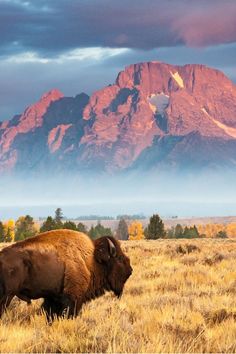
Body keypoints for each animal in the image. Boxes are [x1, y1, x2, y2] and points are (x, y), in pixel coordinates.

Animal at [0, 230, 133, 320]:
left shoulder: (52, 298)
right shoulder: (73, 298)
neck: (92, 260)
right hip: (7, 296)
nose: (130, 270)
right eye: (119, 258)